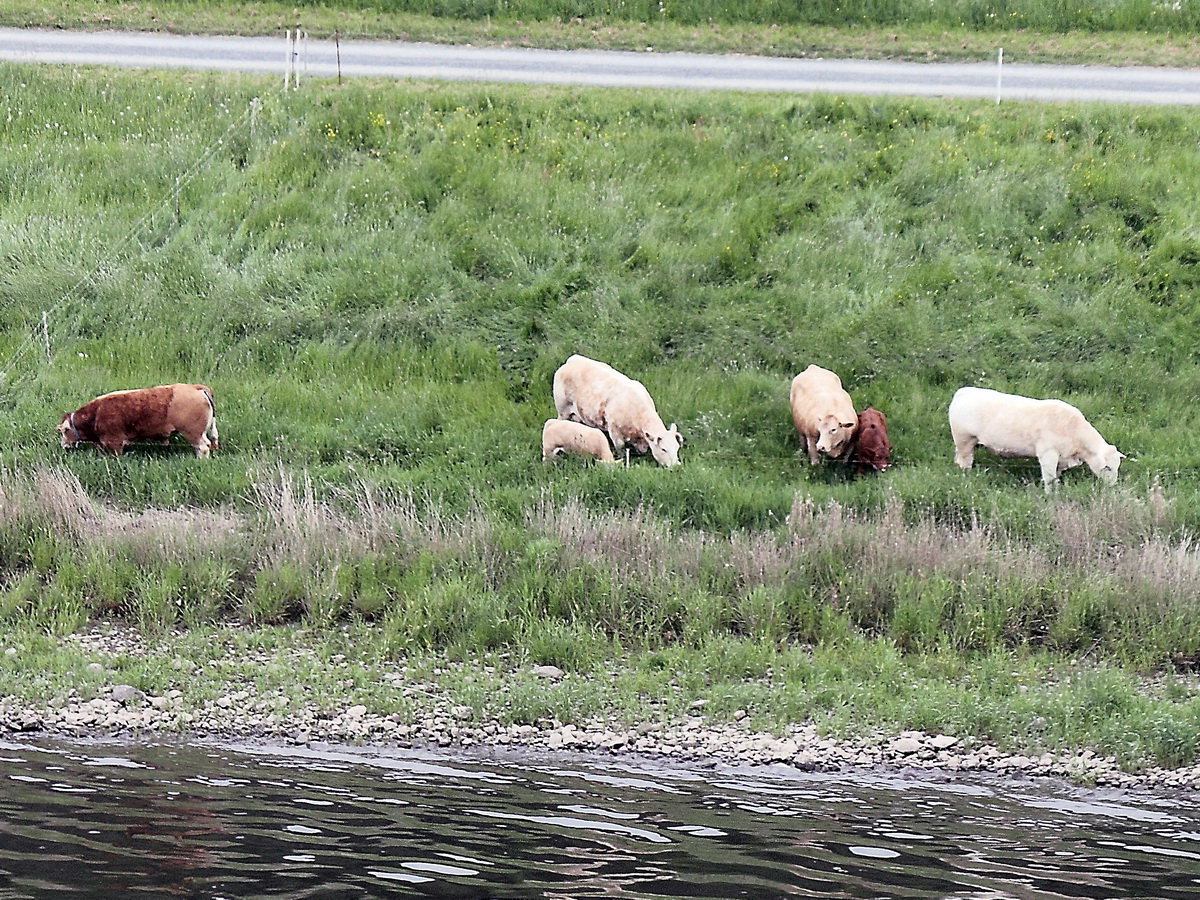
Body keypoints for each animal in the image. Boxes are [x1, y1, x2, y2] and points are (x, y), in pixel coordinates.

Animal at [58, 384, 219, 460]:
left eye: (64, 431)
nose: (63, 445)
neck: (96, 413)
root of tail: (195, 387)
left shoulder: (114, 442)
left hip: (193, 433)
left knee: (203, 447)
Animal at [549, 352, 681, 468]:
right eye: (663, 449)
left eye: (677, 447)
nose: (675, 466)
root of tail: (572, 360)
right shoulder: (615, 431)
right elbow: (620, 449)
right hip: (562, 410)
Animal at [945, 384, 1123, 489]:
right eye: (1107, 467)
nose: (1112, 486)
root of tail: (964, 391)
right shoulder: (1047, 454)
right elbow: (1049, 478)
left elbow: (1056, 476)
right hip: (964, 440)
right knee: (964, 461)